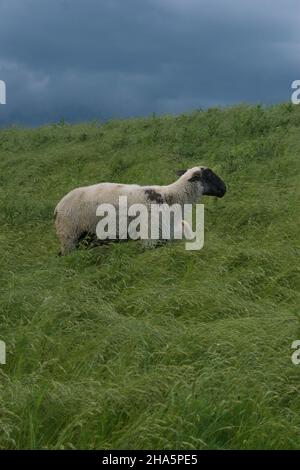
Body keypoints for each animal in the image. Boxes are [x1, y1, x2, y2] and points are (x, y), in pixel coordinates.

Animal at [55, 167, 226, 255]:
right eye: (209, 175)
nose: (224, 189)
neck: (170, 197)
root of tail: (57, 208)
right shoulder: (150, 237)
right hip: (69, 236)